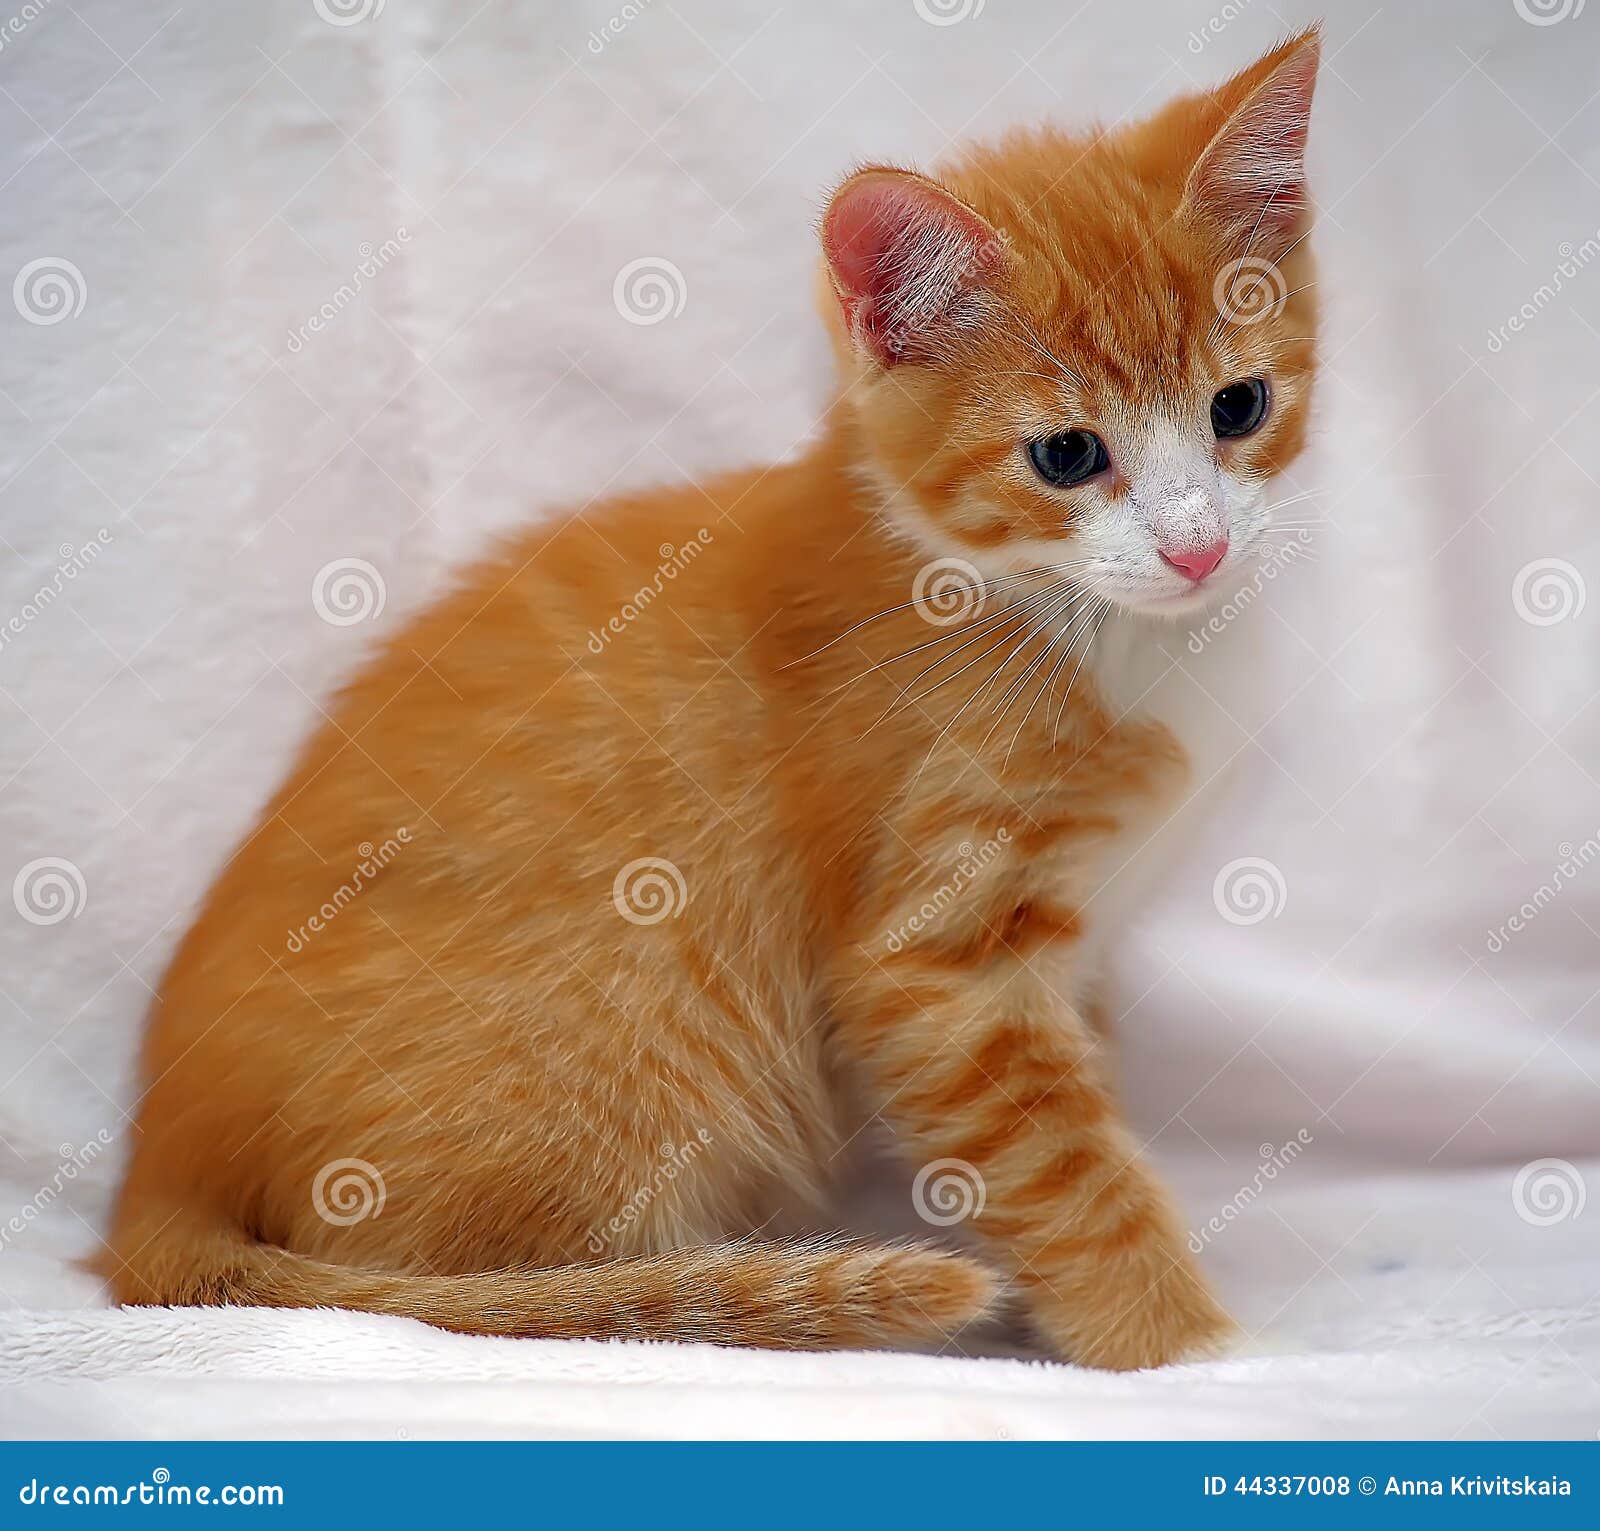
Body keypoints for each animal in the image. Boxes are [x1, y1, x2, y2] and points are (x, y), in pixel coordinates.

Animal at [103, 35, 1324, 1369]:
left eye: (1239, 408)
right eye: (1066, 456)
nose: (1200, 549)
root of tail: (160, 1156)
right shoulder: (933, 961)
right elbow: (1066, 1168)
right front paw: (1187, 1348)